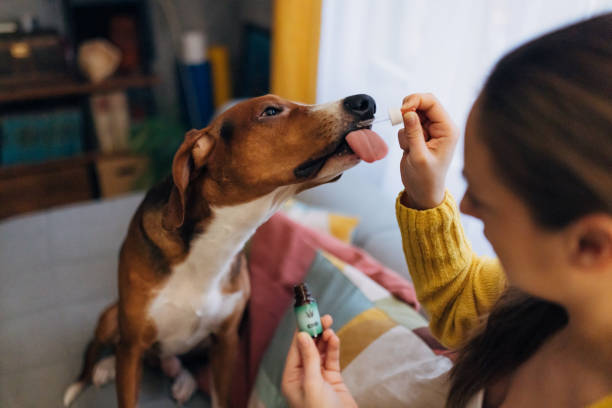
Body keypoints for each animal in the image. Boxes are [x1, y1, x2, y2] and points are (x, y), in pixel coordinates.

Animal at [64, 93, 384, 408]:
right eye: (270, 111)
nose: (366, 101)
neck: (217, 242)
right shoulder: (132, 346)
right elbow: (127, 378)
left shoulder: (226, 340)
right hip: (111, 318)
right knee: (103, 349)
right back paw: (103, 368)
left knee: (176, 364)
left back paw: (182, 380)